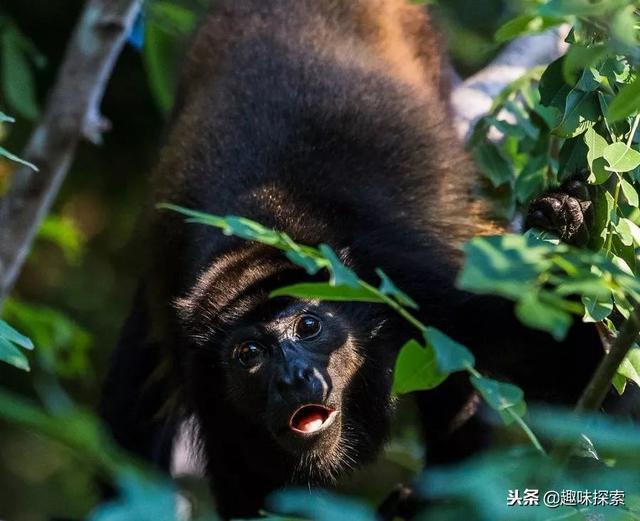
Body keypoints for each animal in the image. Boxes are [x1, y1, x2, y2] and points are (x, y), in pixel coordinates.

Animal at [102, 1, 604, 516]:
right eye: (249, 354)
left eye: (309, 326)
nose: (293, 378)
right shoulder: (204, 379)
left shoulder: (408, 281)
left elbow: (581, 371)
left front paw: (568, 221)